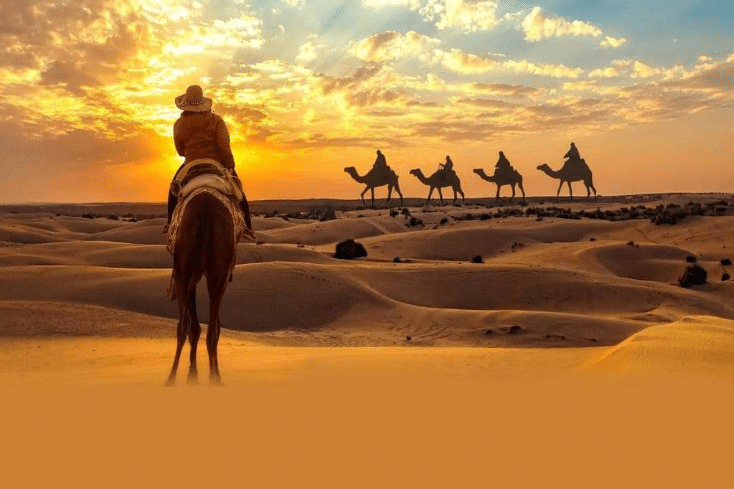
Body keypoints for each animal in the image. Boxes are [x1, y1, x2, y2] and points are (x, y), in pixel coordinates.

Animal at [165, 190, 239, 386]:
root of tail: (206, 210)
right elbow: (204, 327)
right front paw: (197, 374)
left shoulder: (188, 278)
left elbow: (194, 326)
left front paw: (193, 374)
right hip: (216, 271)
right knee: (211, 328)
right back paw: (215, 377)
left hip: (184, 273)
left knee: (184, 324)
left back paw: (171, 378)